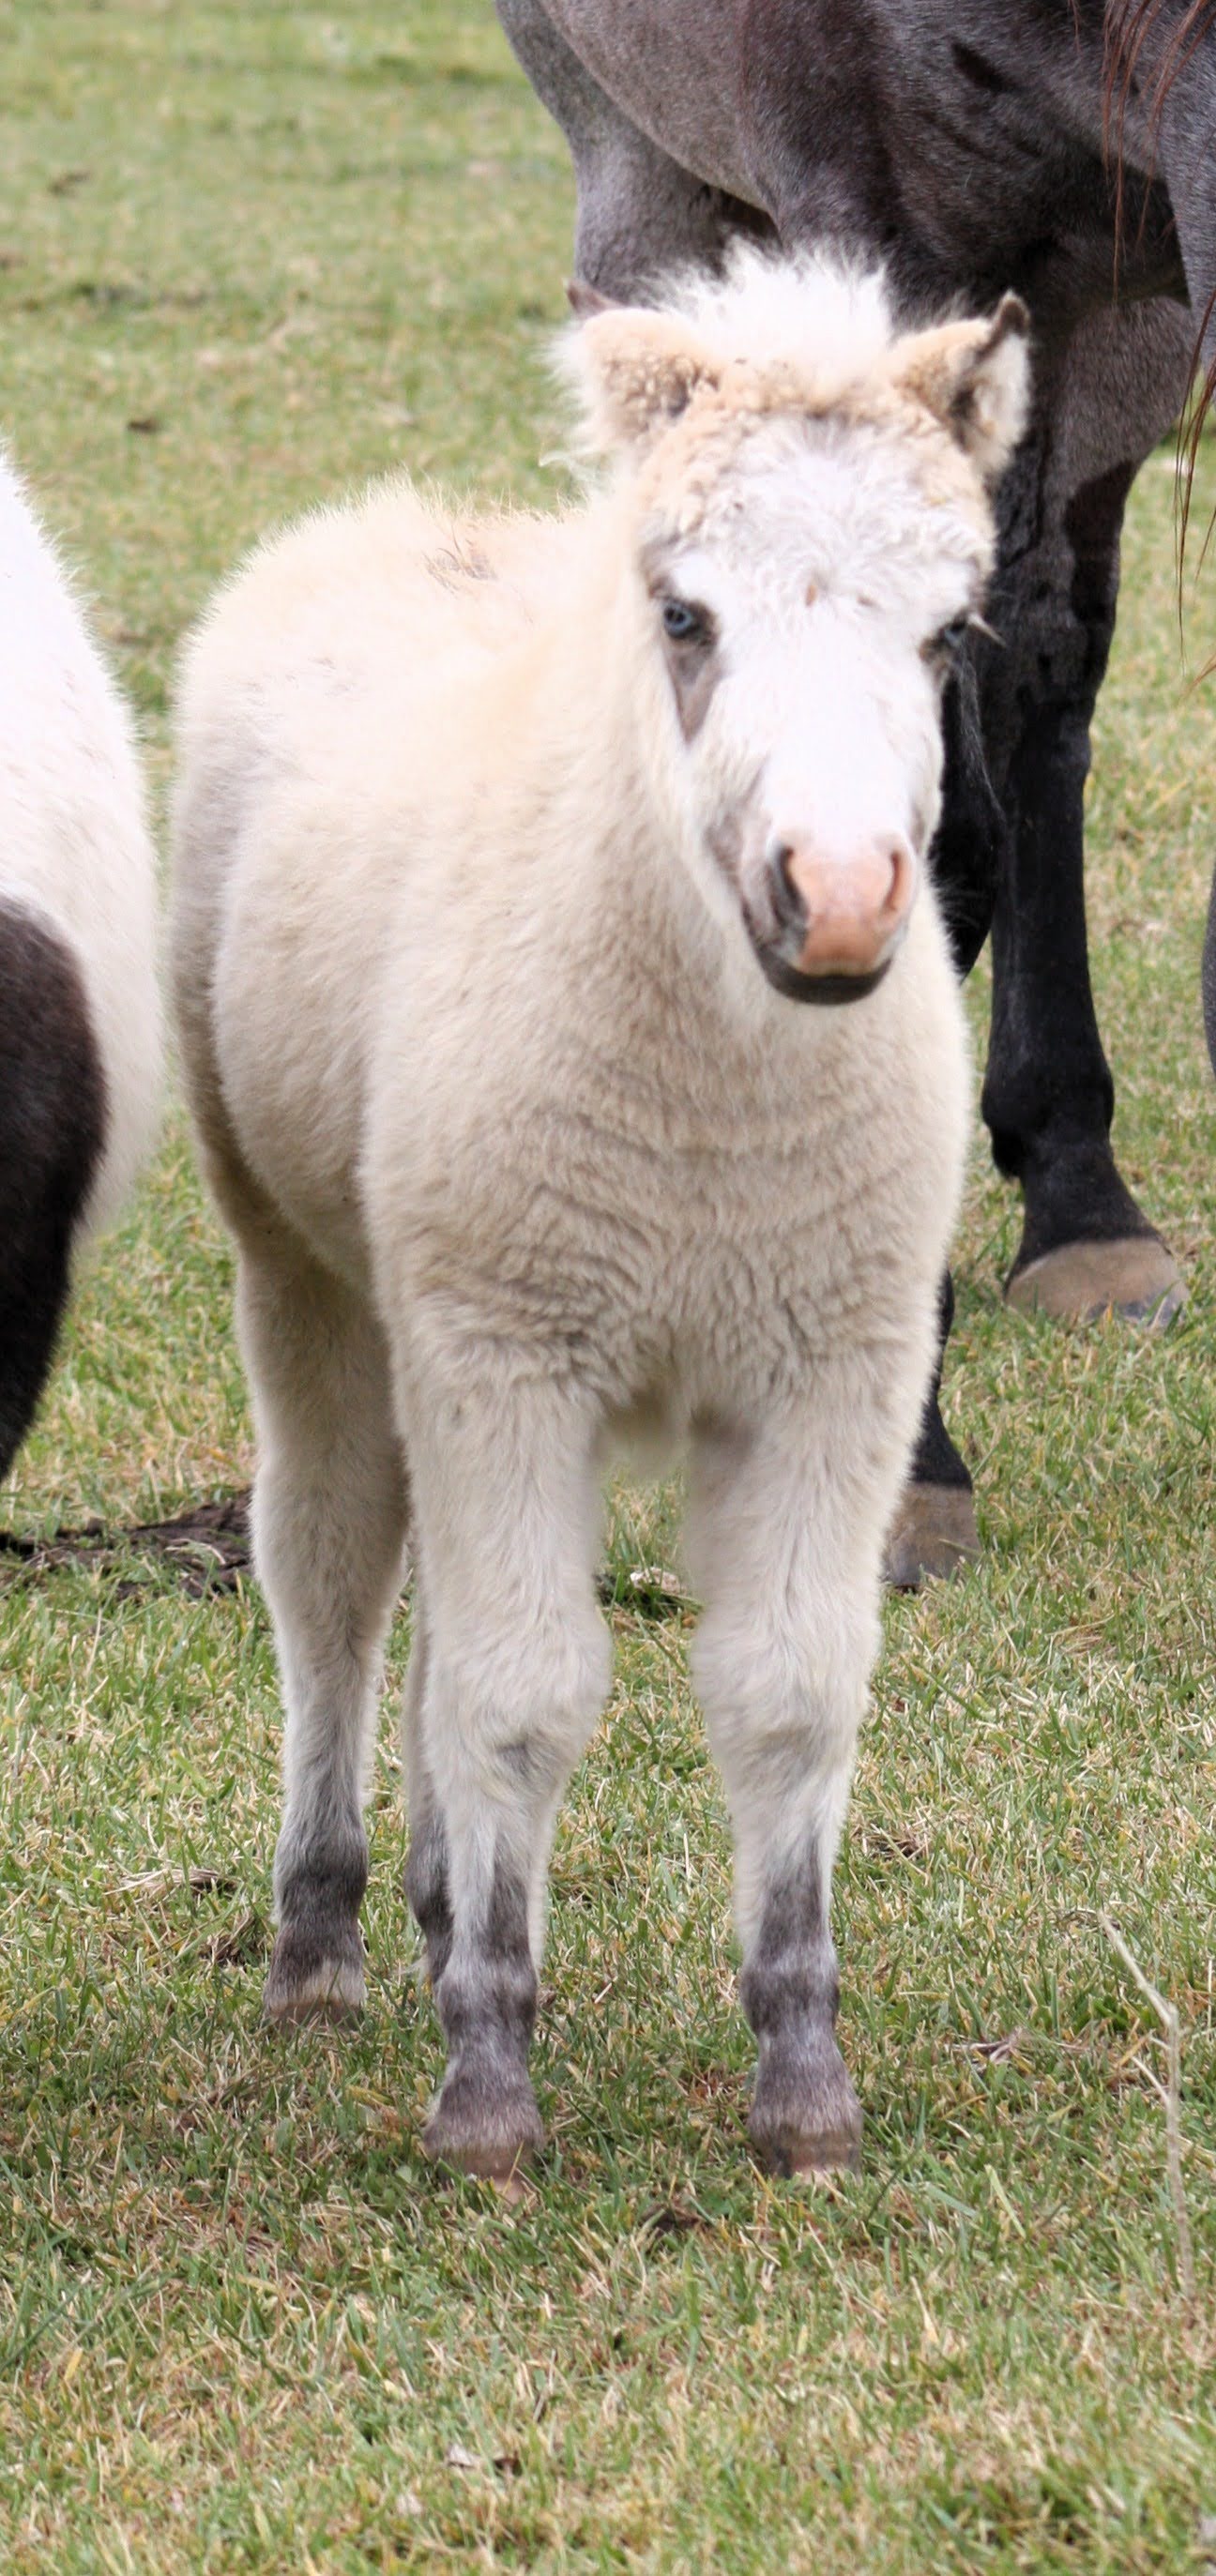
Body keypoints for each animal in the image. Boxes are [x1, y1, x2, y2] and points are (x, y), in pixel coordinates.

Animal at [171, 247, 1028, 2181]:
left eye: (947, 636)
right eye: (687, 618)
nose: (841, 897)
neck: (712, 1114)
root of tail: (404, 526)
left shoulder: (834, 1365)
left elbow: (786, 1692)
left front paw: (802, 2083)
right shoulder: (510, 1342)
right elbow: (526, 1695)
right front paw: (489, 2088)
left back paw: (426, 1907)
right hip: (315, 1271)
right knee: (335, 1563)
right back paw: (326, 1942)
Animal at [495, 0, 1216, 1581]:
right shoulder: (887, 227)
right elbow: (927, 859)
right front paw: (904, 1465)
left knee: (1047, 667)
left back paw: (1079, 1195)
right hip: (645, 181)